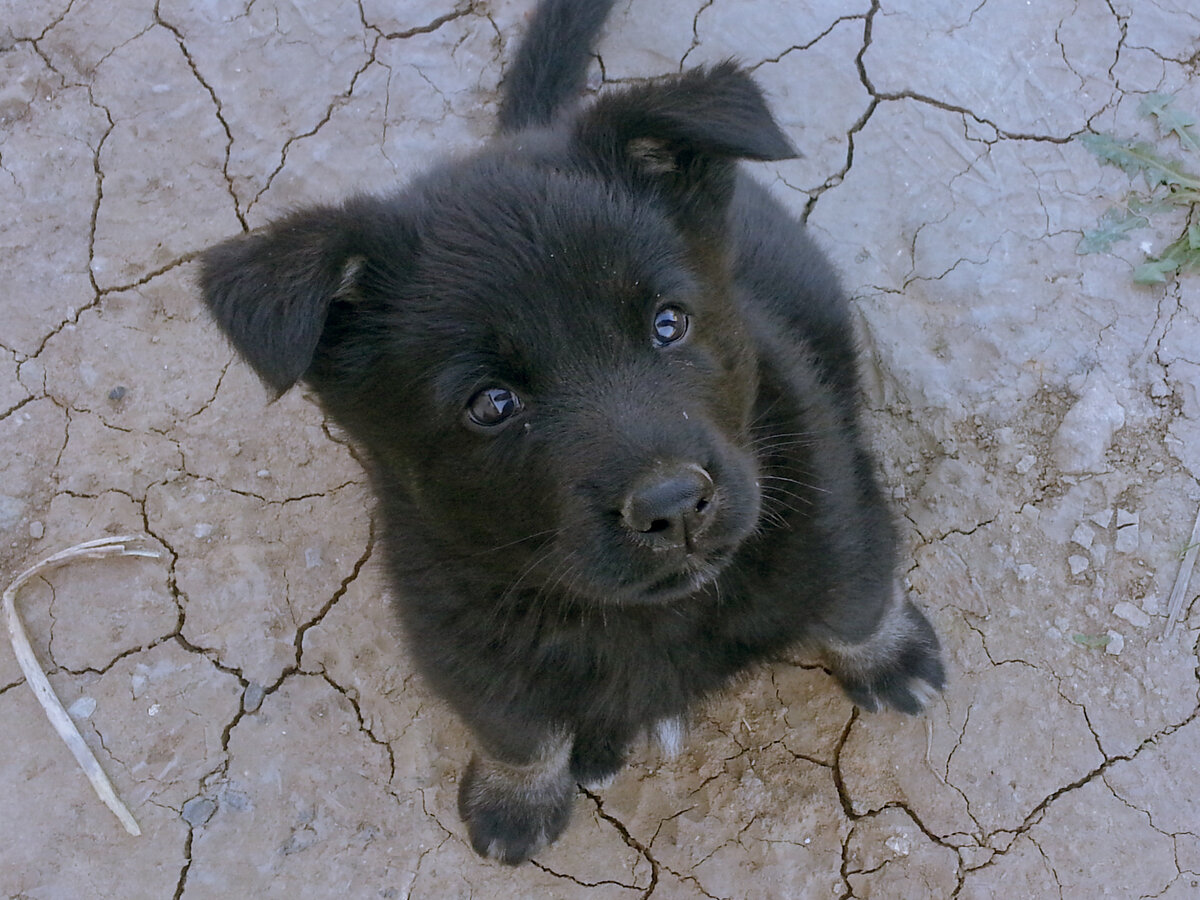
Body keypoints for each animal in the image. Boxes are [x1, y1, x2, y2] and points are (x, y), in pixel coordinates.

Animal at [199, 0, 945, 868]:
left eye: (668, 323)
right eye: (491, 403)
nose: (673, 506)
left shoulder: (831, 506)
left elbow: (857, 598)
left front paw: (892, 658)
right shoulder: (457, 629)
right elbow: (516, 729)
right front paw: (516, 799)